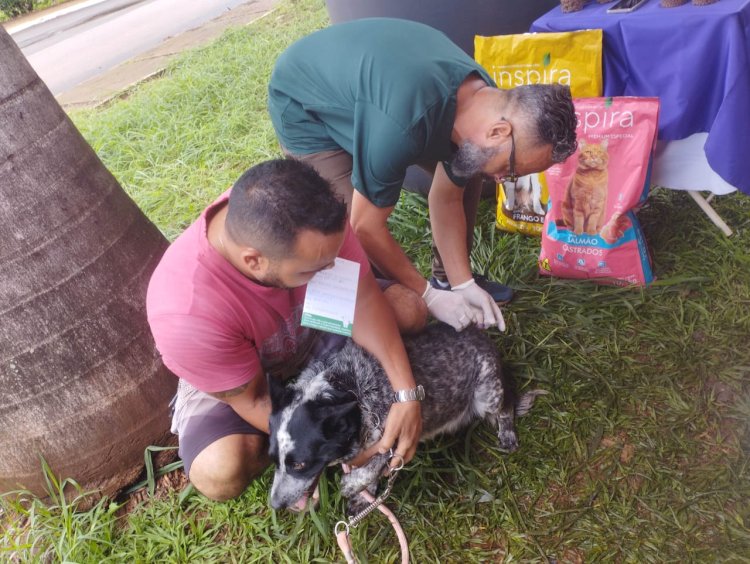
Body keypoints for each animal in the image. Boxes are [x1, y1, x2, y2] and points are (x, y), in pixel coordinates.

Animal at [268, 322, 544, 512]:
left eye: (300, 465)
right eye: (273, 460)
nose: (275, 506)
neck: (348, 387)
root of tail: (480, 334)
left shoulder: (392, 438)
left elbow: (370, 471)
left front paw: (351, 486)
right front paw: (364, 496)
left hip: (487, 394)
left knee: (506, 407)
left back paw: (507, 434)